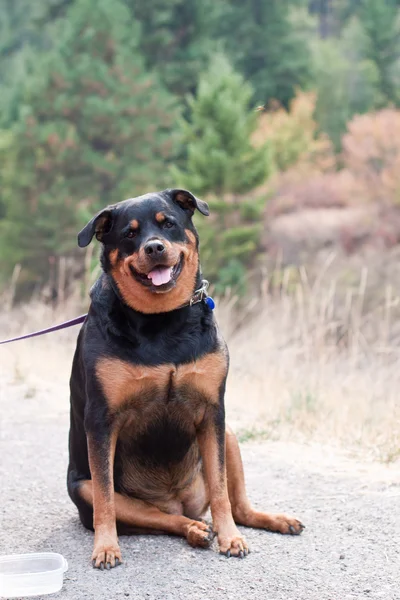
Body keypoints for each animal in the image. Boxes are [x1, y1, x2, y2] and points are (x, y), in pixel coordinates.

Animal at [67, 186, 304, 568]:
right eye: (129, 234)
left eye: (169, 224)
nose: (154, 247)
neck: (161, 320)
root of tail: (178, 500)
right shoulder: (101, 422)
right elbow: (105, 498)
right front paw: (105, 547)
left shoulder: (213, 412)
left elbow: (222, 491)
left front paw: (231, 538)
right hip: (85, 487)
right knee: (160, 517)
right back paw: (194, 530)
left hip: (229, 436)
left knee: (238, 506)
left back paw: (267, 521)